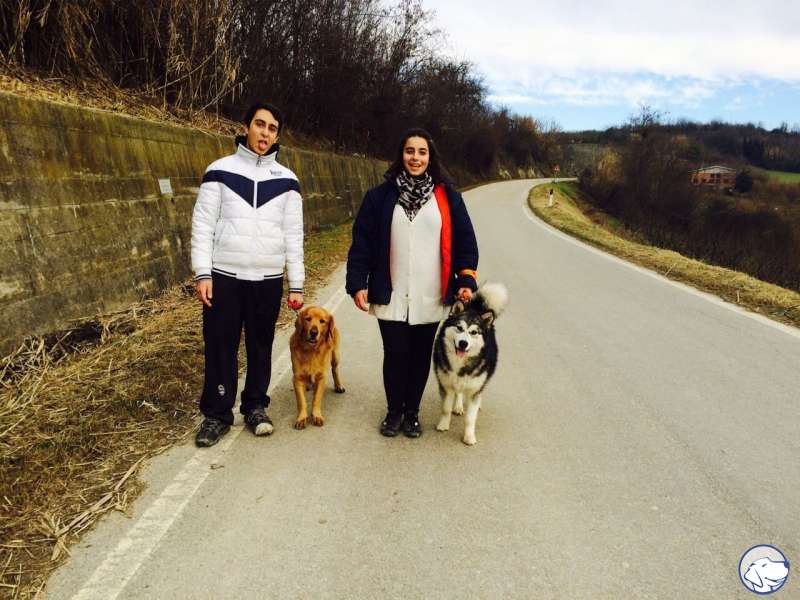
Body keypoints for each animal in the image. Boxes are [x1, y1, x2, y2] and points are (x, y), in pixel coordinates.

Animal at [433, 283, 508, 445]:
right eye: (459, 328)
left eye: (474, 332)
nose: (463, 343)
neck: (460, 362)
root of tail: (475, 308)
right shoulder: (446, 383)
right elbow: (446, 408)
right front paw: (443, 425)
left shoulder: (474, 389)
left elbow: (470, 418)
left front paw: (469, 437)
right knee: (459, 392)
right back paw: (458, 406)